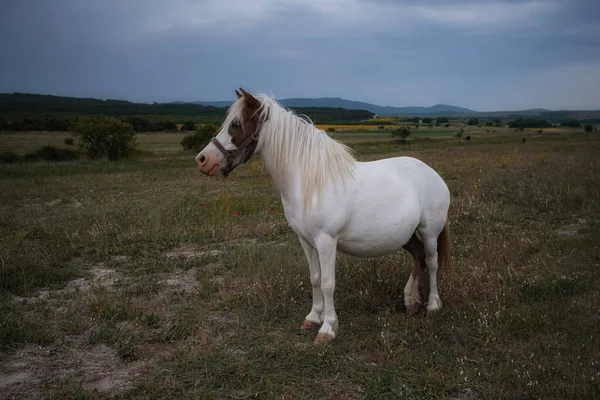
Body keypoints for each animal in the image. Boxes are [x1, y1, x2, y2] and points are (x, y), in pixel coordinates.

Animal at [197, 87, 450, 344]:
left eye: (236, 124)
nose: (203, 160)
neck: (311, 181)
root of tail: (432, 173)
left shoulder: (326, 241)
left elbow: (328, 283)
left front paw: (327, 329)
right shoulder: (306, 240)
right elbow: (315, 278)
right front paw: (312, 317)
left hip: (429, 232)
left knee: (431, 261)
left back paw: (433, 304)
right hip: (405, 235)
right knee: (418, 258)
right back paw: (412, 301)